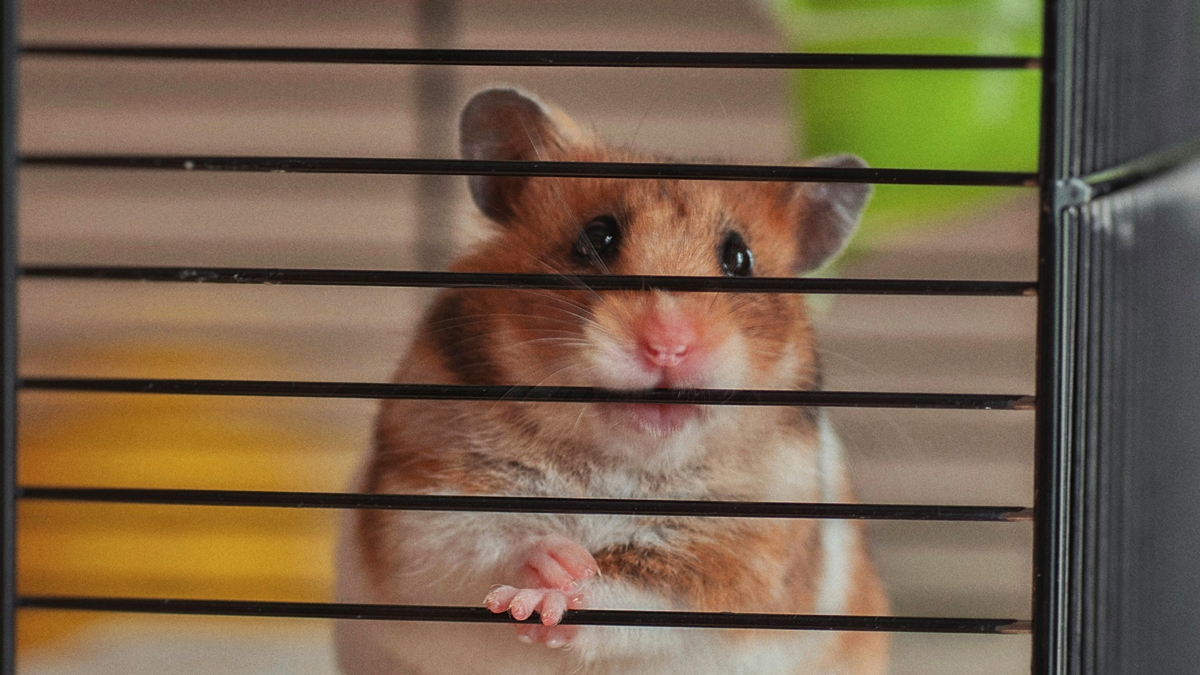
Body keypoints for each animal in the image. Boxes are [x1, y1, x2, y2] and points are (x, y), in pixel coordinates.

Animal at [335, 88, 889, 675]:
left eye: (739, 259)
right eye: (596, 237)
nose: (667, 344)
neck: (616, 463)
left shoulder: (741, 551)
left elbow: (637, 593)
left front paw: (550, 601)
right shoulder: (423, 498)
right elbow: (480, 542)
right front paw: (549, 570)